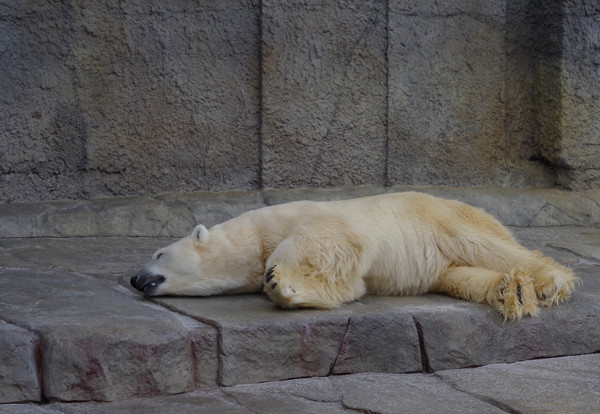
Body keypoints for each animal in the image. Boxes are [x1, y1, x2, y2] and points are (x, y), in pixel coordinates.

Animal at [131, 193, 576, 320]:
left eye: (159, 251)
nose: (135, 277)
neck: (255, 235)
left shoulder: (315, 219)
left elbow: (321, 243)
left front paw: (282, 281)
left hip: (443, 219)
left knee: (488, 247)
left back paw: (552, 282)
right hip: (442, 259)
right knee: (460, 275)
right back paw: (510, 291)